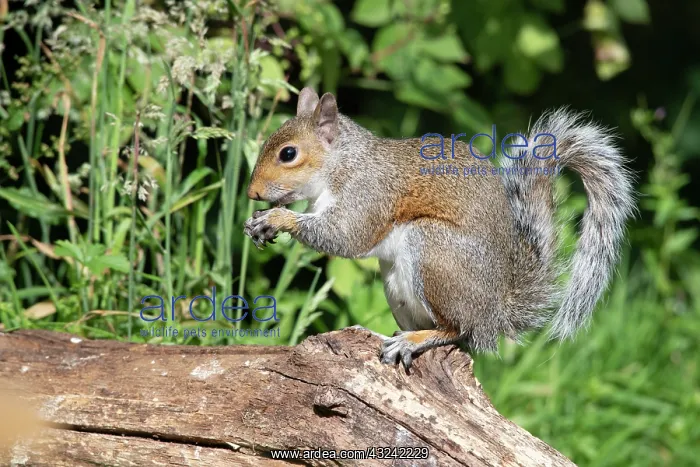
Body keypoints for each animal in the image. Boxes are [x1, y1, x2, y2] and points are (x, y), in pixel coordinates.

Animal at [244, 87, 635, 371]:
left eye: (289, 154)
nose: (251, 193)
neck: (343, 163)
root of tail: (495, 313)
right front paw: (260, 222)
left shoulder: (370, 193)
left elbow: (346, 236)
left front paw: (276, 219)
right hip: (396, 285)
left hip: (434, 251)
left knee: (457, 329)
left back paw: (413, 341)